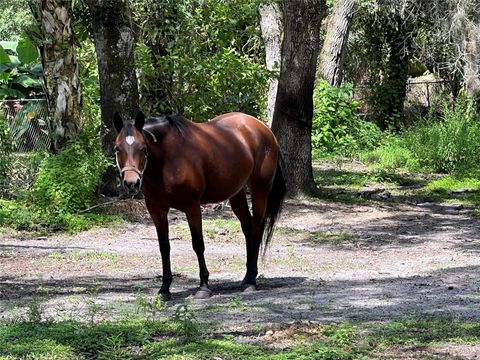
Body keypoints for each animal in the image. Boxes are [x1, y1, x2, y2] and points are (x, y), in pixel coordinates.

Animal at [112, 111, 284, 300]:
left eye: (143, 148)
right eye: (117, 149)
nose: (131, 182)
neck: (167, 159)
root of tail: (264, 129)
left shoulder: (192, 206)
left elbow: (198, 244)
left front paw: (203, 286)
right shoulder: (156, 209)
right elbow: (164, 247)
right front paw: (164, 289)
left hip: (260, 189)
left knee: (257, 229)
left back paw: (252, 281)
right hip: (236, 193)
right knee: (247, 227)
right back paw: (246, 277)